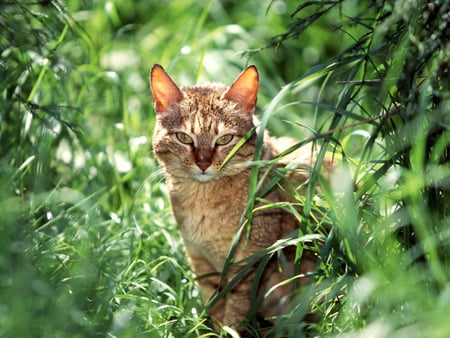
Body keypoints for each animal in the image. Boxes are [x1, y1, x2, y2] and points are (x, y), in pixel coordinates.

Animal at [149, 64, 326, 334]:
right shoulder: (201, 263)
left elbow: (234, 312)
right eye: (184, 138)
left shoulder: (247, 267)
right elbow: (213, 306)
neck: (203, 204)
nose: (203, 163)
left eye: (224, 139)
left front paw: (228, 331)